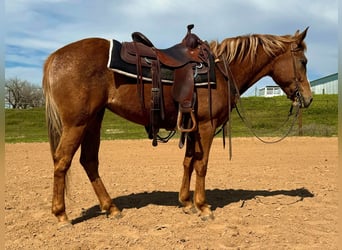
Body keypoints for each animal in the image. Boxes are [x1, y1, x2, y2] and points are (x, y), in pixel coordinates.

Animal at [42, 27, 312, 227]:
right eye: (303, 61)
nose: (308, 99)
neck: (222, 71)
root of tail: (56, 57)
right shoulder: (205, 125)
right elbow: (202, 165)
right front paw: (203, 207)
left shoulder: (191, 127)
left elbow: (188, 162)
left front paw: (186, 202)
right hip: (77, 123)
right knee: (62, 161)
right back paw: (62, 215)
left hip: (93, 120)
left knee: (89, 161)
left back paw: (111, 208)